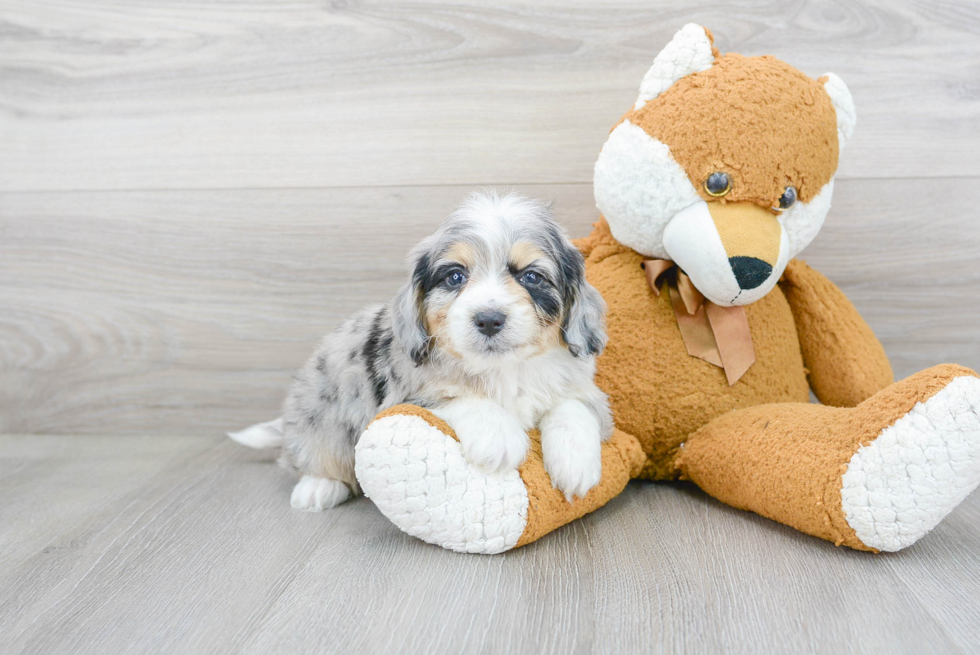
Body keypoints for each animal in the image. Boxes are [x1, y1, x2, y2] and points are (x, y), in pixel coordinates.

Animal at [232, 192, 612, 510]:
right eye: (455, 276)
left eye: (531, 277)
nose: (489, 319)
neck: (504, 368)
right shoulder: (406, 396)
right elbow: (458, 396)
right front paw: (499, 437)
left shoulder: (584, 387)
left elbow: (572, 406)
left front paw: (576, 463)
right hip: (320, 415)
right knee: (309, 456)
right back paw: (317, 488)